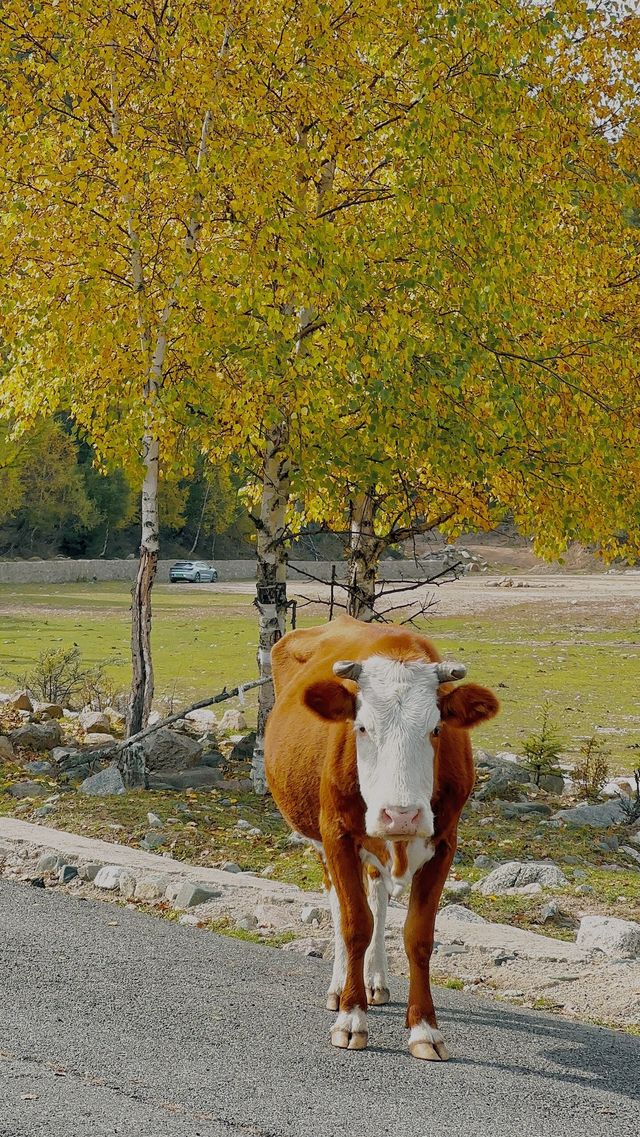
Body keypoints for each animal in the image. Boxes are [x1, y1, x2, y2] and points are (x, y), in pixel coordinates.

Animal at [266, 618, 500, 1059]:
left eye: (436, 729)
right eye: (362, 727)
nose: (401, 815)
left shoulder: (445, 844)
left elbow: (418, 937)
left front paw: (425, 1029)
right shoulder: (337, 834)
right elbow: (354, 923)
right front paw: (351, 1018)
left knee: (376, 896)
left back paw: (375, 980)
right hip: (321, 841)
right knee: (339, 905)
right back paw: (340, 986)